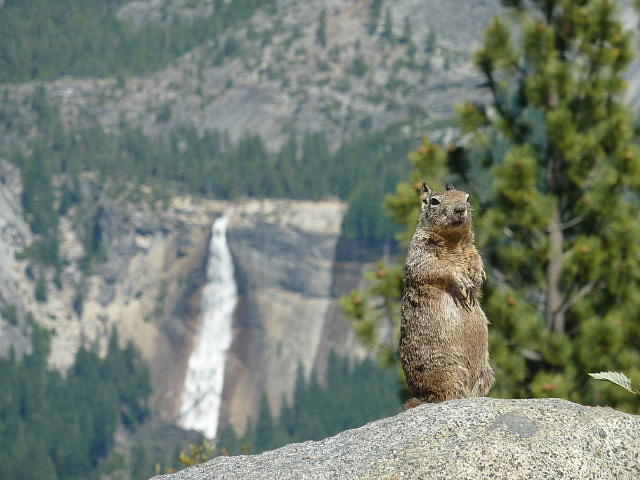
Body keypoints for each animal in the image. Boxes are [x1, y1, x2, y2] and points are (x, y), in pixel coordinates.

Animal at [400, 181, 496, 408]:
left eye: (467, 197)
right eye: (434, 201)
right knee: (443, 394)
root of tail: (420, 395)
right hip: (447, 370)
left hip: (484, 372)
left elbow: (476, 256)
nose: (460, 208)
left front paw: (478, 274)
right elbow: (438, 267)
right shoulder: (421, 254)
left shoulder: (471, 248)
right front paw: (461, 277)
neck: (454, 240)